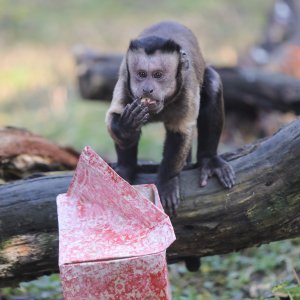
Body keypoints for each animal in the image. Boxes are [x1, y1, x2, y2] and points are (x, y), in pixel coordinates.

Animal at [105, 21, 234, 217]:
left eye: (158, 75)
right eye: (141, 74)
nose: (147, 89)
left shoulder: (187, 87)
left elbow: (181, 132)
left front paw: (166, 181)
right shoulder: (124, 82)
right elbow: (114, 118)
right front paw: (127, 126)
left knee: (212, 82)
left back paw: (209, 160)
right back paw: (126, 168)